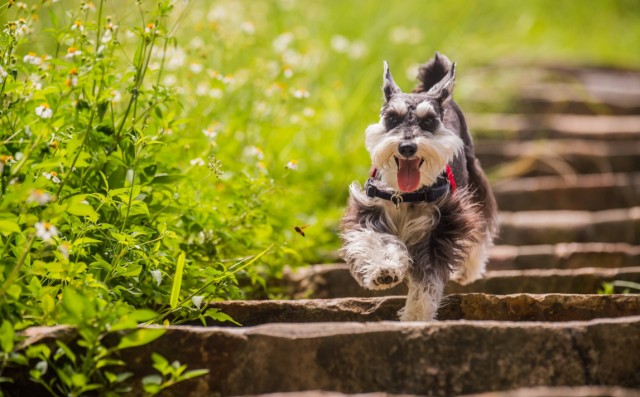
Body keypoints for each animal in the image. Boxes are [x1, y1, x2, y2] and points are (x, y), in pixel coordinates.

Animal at [338, 51, 498, 318]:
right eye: (392, 118)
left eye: (429, 121)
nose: (407, 147)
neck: (406, 194)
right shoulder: (368, 211)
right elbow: (376, 240)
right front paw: (383, 270)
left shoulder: (441, 227)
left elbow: (427, 280)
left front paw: (416, 315)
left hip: (474, 181)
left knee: (481, 226)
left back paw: (469, 269)